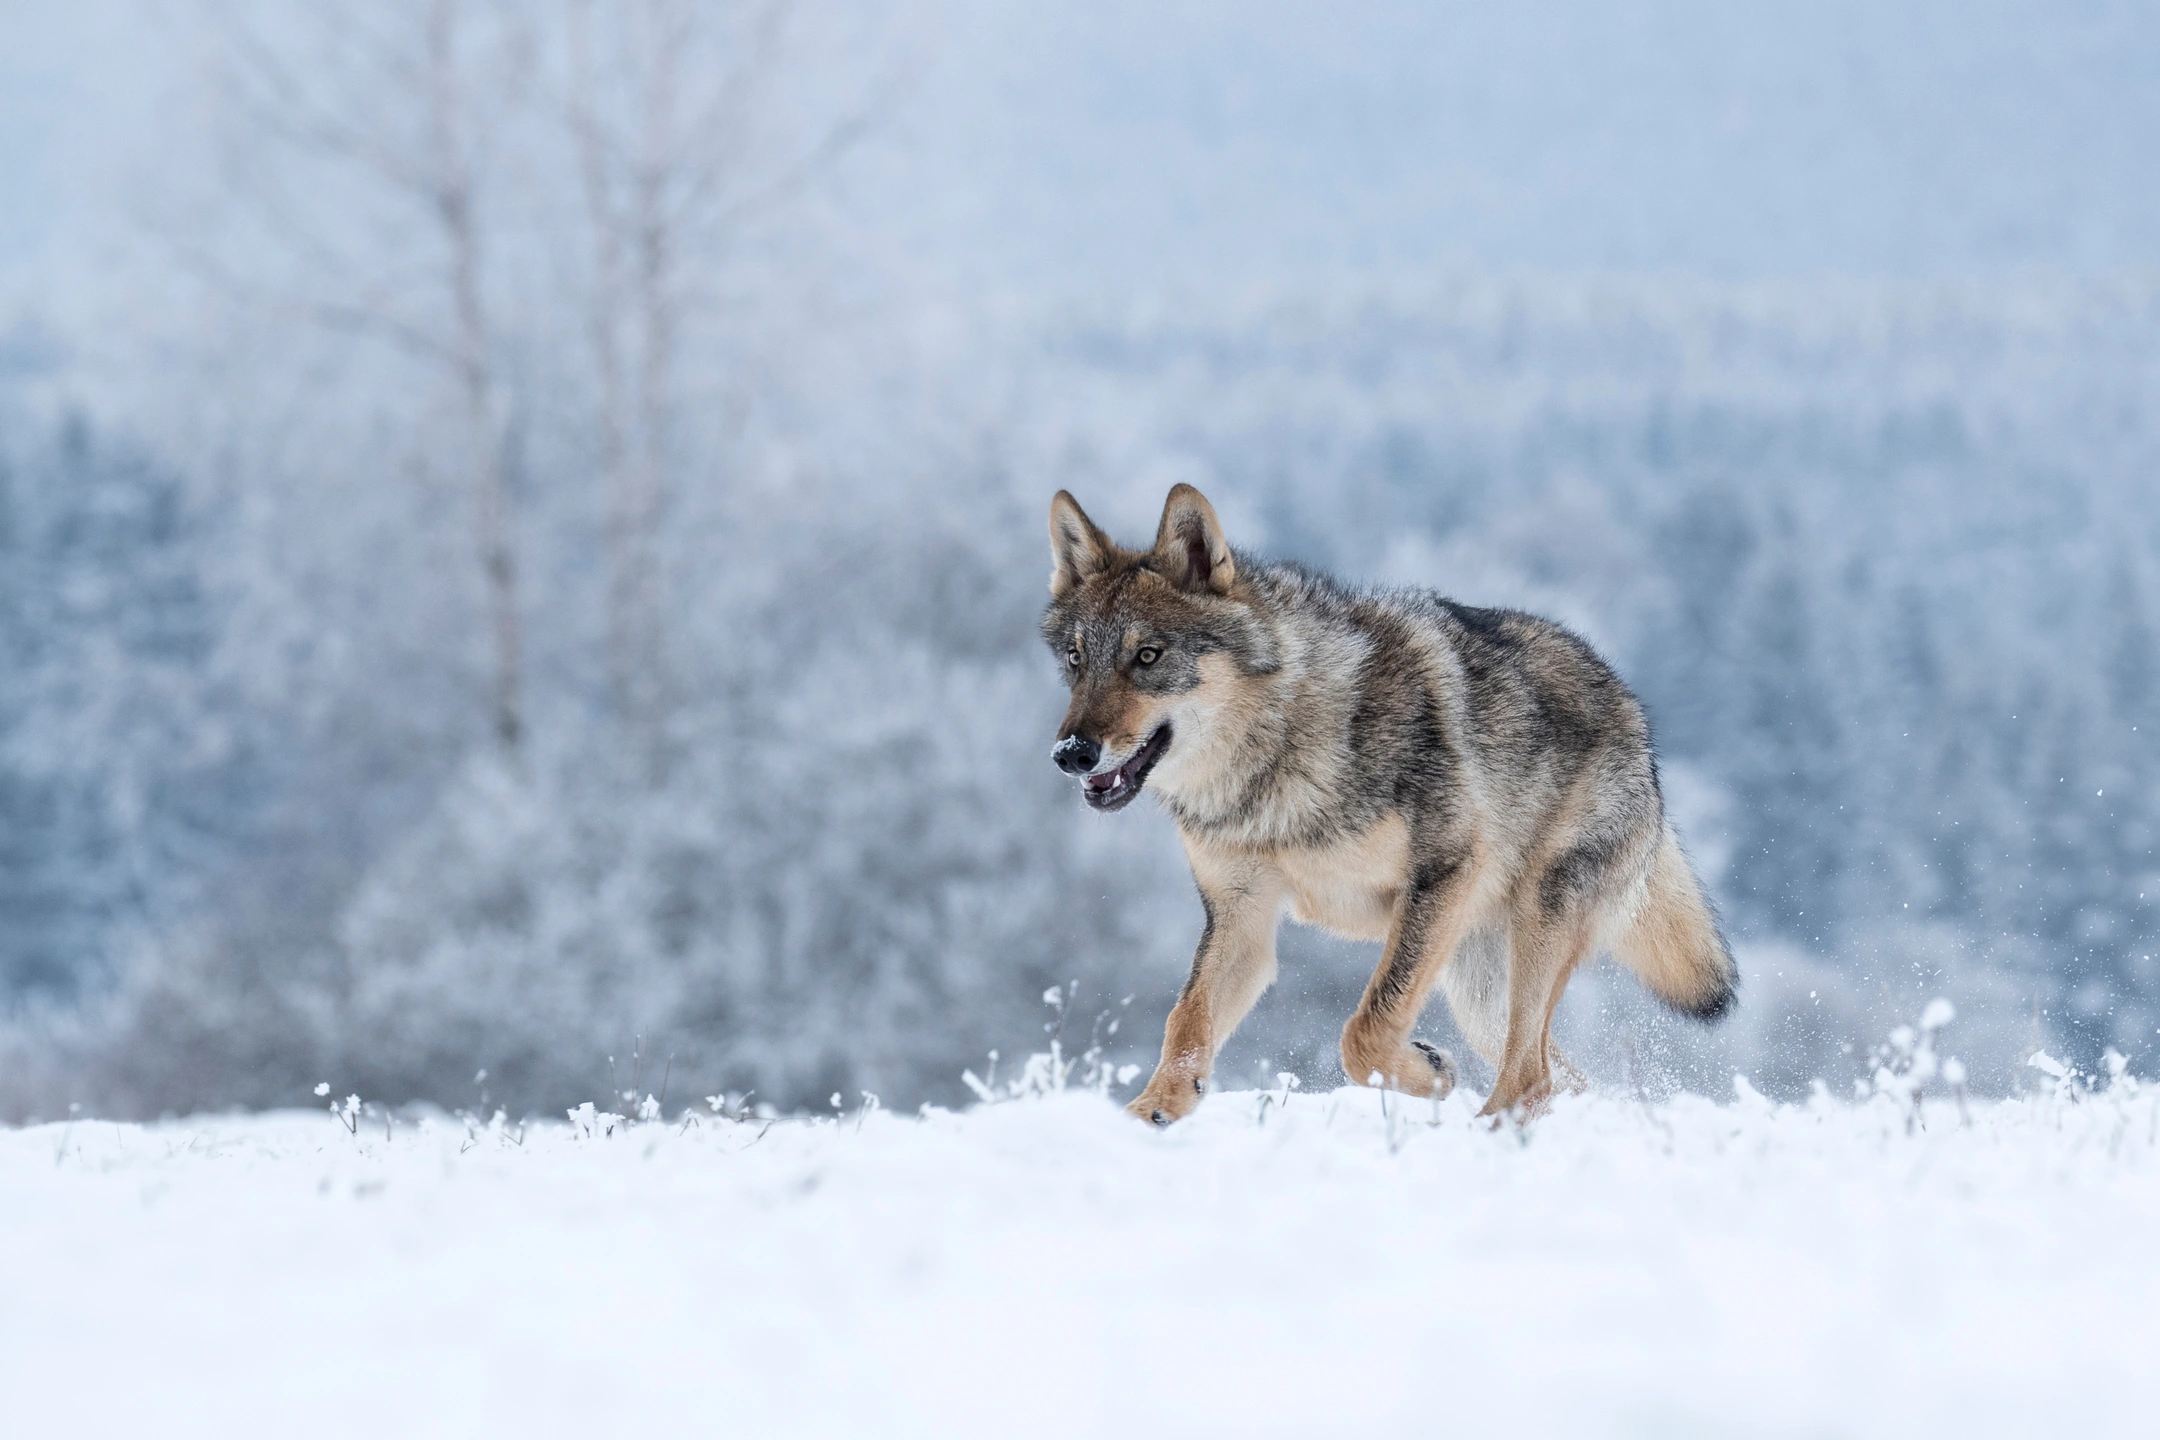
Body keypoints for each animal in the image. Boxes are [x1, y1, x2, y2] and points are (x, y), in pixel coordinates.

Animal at [1036, 483, 1728, 1122]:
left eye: (1147, 656)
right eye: (1076, 659)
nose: (1071, 752)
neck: (1277, 758)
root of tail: (1633, 711)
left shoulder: (1438, 874)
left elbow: (1364, 1030)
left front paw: (1431, 1075)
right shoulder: (1241, 917)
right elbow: (1184, 1021)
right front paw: (1150, 1115)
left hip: (1534, 930)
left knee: (1530, 1076)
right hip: (1478, 993)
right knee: (1561, 1076)